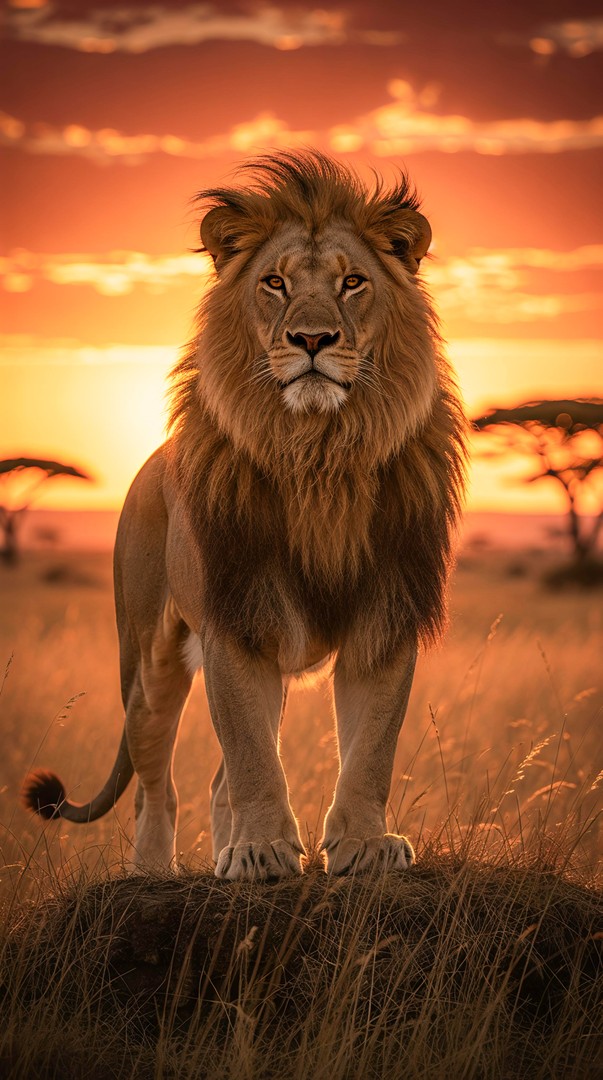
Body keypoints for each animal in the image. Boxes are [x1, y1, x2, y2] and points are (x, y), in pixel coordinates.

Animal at [22, 151, 466, 881]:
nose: (312, 339)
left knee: (215, 781)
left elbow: (370, 748)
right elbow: (254, 756)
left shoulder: (386, 613)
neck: (318, 457)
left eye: (352, 282)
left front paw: (364, 845)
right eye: (274, 283)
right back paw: (153, 872)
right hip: (148, 663)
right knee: (156, 784)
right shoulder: (236, 618)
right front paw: (260, 850)